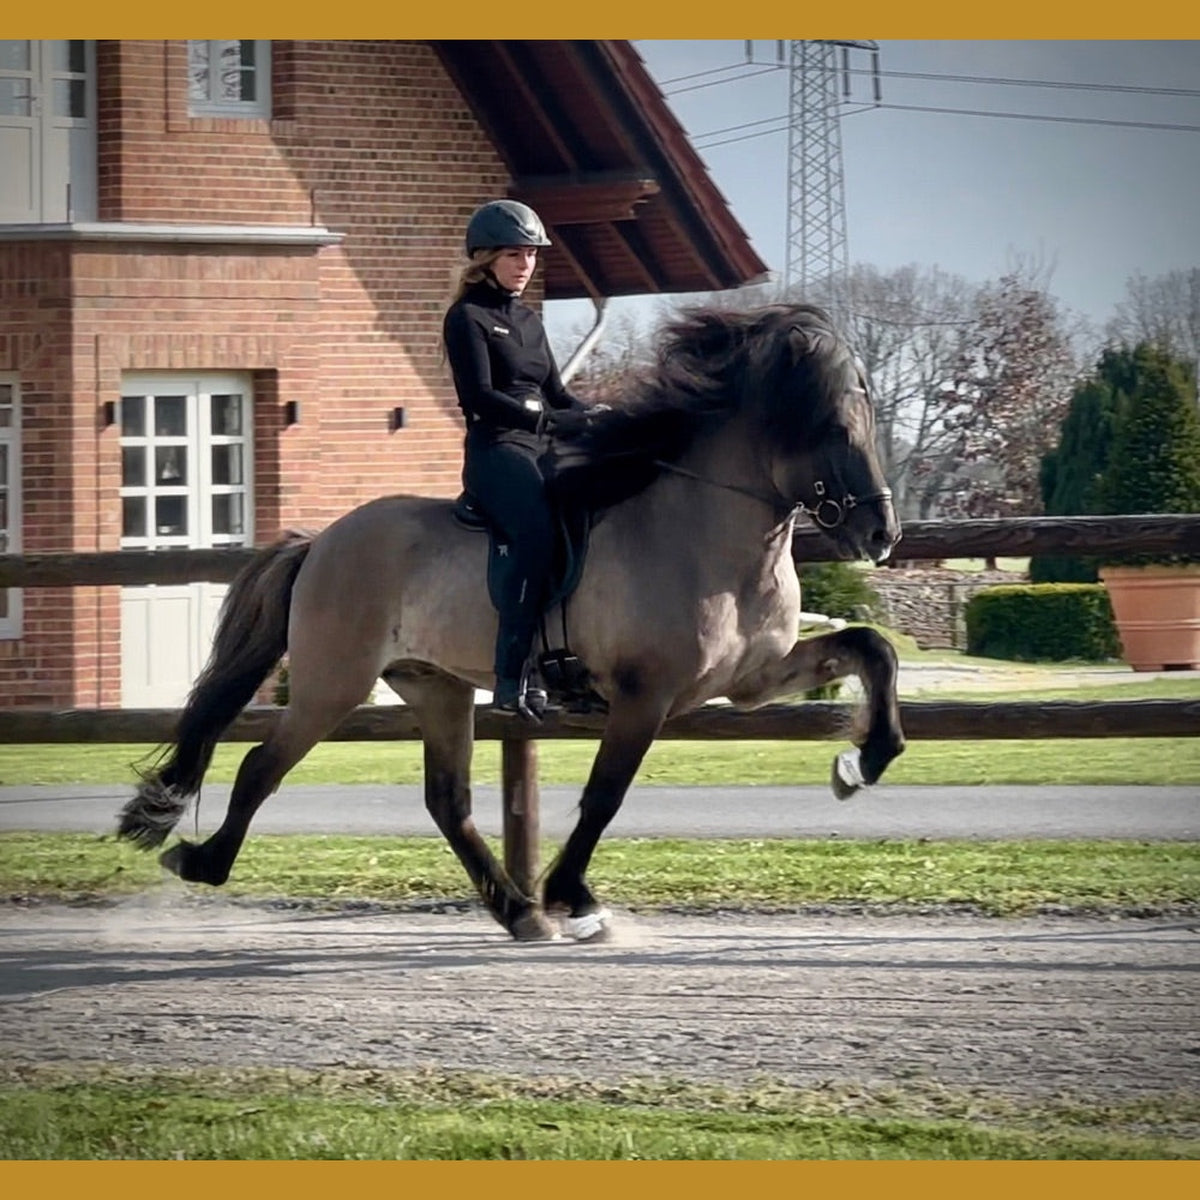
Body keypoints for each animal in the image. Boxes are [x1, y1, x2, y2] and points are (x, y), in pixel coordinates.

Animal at [117, 304, 902, 940]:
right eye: (833, 428)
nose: (881, 533)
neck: (704, 529)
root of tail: (322, 541)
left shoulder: (750, 679)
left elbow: (871, 649)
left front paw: (861, 762)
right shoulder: (644, 695)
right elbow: (605, 795)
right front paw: (575, 898)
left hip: (435, 687)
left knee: (447, 800)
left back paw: (518, 911)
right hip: (331, 685)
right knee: (261, 766)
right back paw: (200, 862)